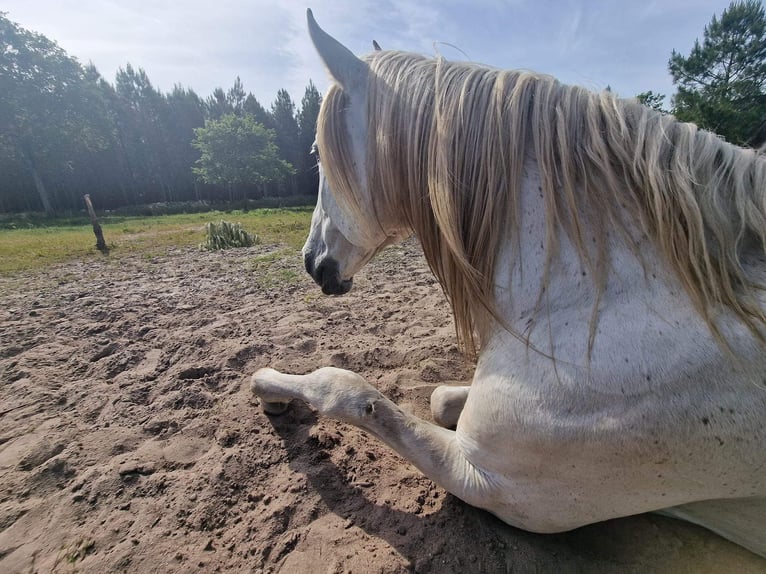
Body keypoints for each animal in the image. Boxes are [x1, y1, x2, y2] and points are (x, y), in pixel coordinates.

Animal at [255, 7, 766, 560]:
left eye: (318, 154)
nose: (311, 261)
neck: (601, 300)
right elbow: (439, 397)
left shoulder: (491, 482)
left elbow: (344, 387)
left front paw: (266, 384)